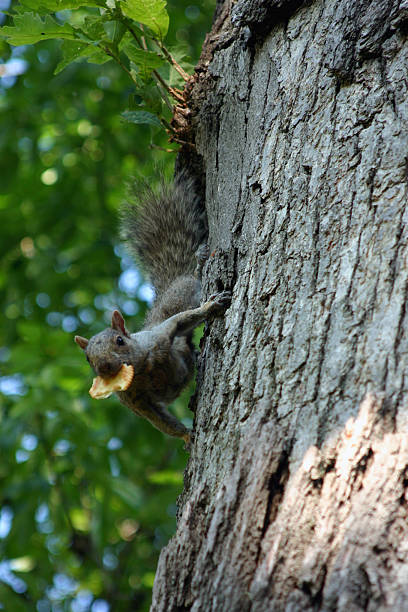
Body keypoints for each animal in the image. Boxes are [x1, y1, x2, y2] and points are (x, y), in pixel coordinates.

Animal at [74, 175, 231, 448]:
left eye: (119, 340)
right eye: (88, 359)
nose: (104, 366)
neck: (142, 370)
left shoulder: (160, 336)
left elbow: (180, 322)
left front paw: (211, 307)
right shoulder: (136, 402)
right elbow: (161, 421)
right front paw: (187, 434)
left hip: (183, 295)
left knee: (192, 287)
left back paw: (200, 264)